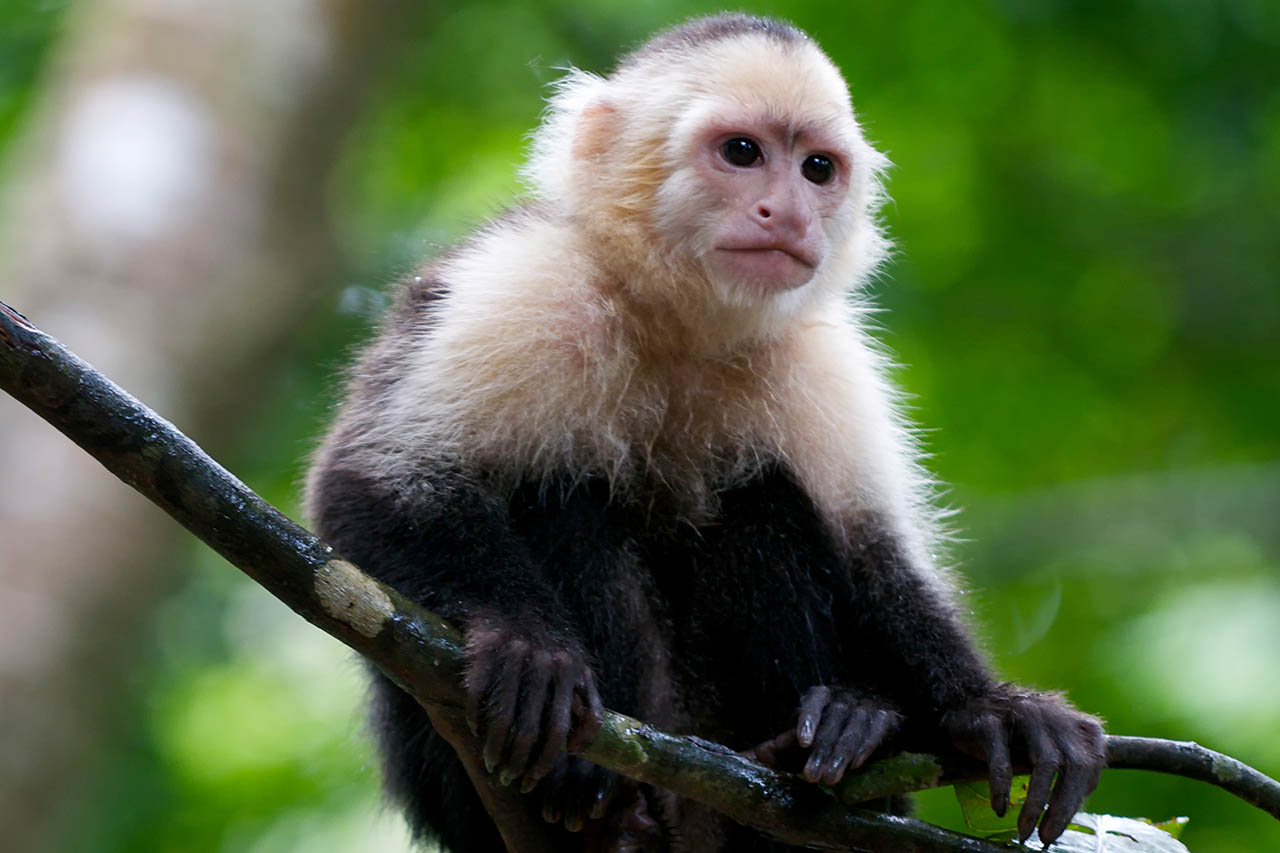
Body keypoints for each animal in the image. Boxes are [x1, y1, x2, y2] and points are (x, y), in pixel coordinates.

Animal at [304, 14, 1105, 850]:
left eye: (817, 168)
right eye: (742, 152)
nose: (789, 214)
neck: (678, 320)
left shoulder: (824, 357)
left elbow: (871, 550)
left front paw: (985, 707)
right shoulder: (523, 282)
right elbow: (372, 481)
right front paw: (526, 642)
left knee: (759, 496)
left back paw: (830, 744)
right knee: (560, 482)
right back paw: (591, 798)